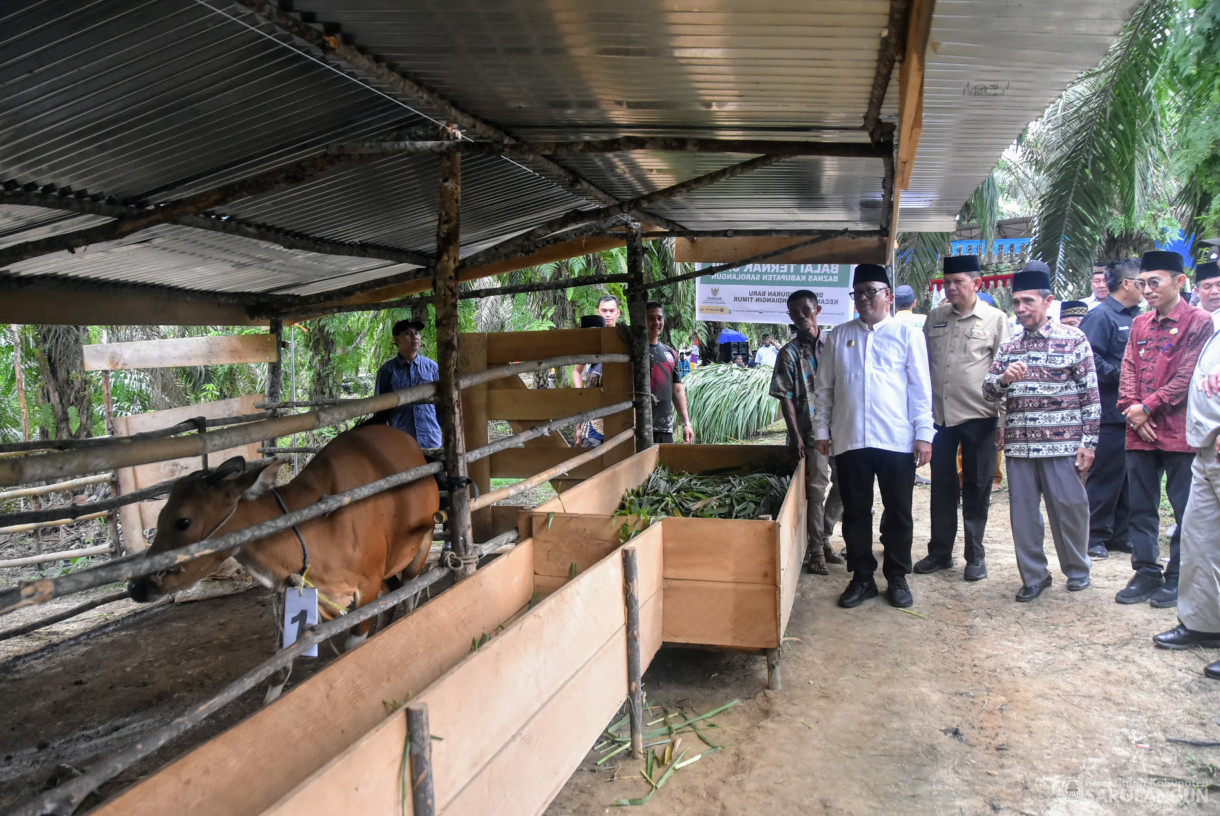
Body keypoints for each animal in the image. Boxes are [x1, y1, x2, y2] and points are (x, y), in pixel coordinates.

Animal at [128, 424, 441, 644]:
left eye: (183, 521)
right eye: (160, 516)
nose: (136, 586)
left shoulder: (366, 588)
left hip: (420, 547)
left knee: (409, 591)